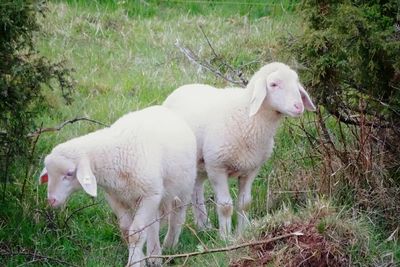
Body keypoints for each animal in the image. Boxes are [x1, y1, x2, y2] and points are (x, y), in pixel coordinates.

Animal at [38, 105, 198, 267]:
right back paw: (154, 256)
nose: (51, 200)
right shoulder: (116, 198)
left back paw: (169, 245)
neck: (115, 154)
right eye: (49, 174)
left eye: (70, 173)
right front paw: (140, 259)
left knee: (177, 214)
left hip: (183, 186)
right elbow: (126, 230)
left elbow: (136, 233)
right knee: (153, 224)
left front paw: (134, 262)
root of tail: (162, 108)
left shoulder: (150, 195)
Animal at [162, 62, 316, 239]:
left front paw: (242, 233)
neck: (248, 116)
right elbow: (225, 206)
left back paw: (204, 226)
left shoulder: (251, 168)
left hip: (200, 163)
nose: (299, 106)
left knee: (196, 187)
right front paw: (225, 238)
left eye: (296, 83)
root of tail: (183, 87)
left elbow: (244, 204)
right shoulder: (217, 167)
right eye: (273, 84)